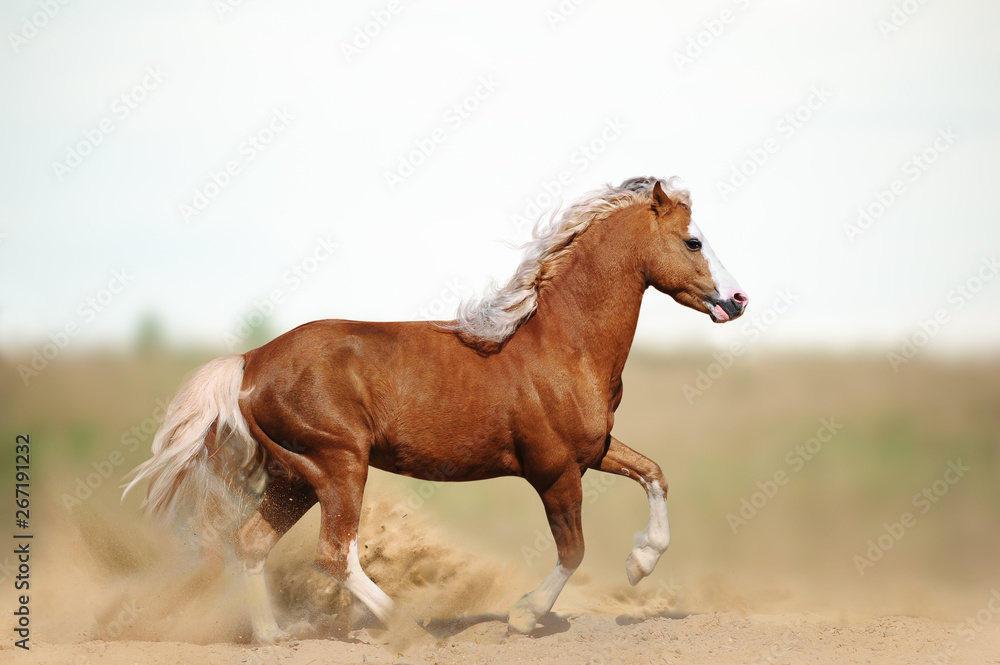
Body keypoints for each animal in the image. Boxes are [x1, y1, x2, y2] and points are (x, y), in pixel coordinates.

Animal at [122, 176, 748, 640]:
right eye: (693, 242)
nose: (738, 300)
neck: (561, 344)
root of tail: (250, 361)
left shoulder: (592, 451)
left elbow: (654, 475)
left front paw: (641, 563)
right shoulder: (552, 469)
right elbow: (573, 550)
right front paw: (524, 615)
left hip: (294, 475)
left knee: (252, 542)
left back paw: (274, 636)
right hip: (337, 465)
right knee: (335, 553)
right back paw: (404, 626)